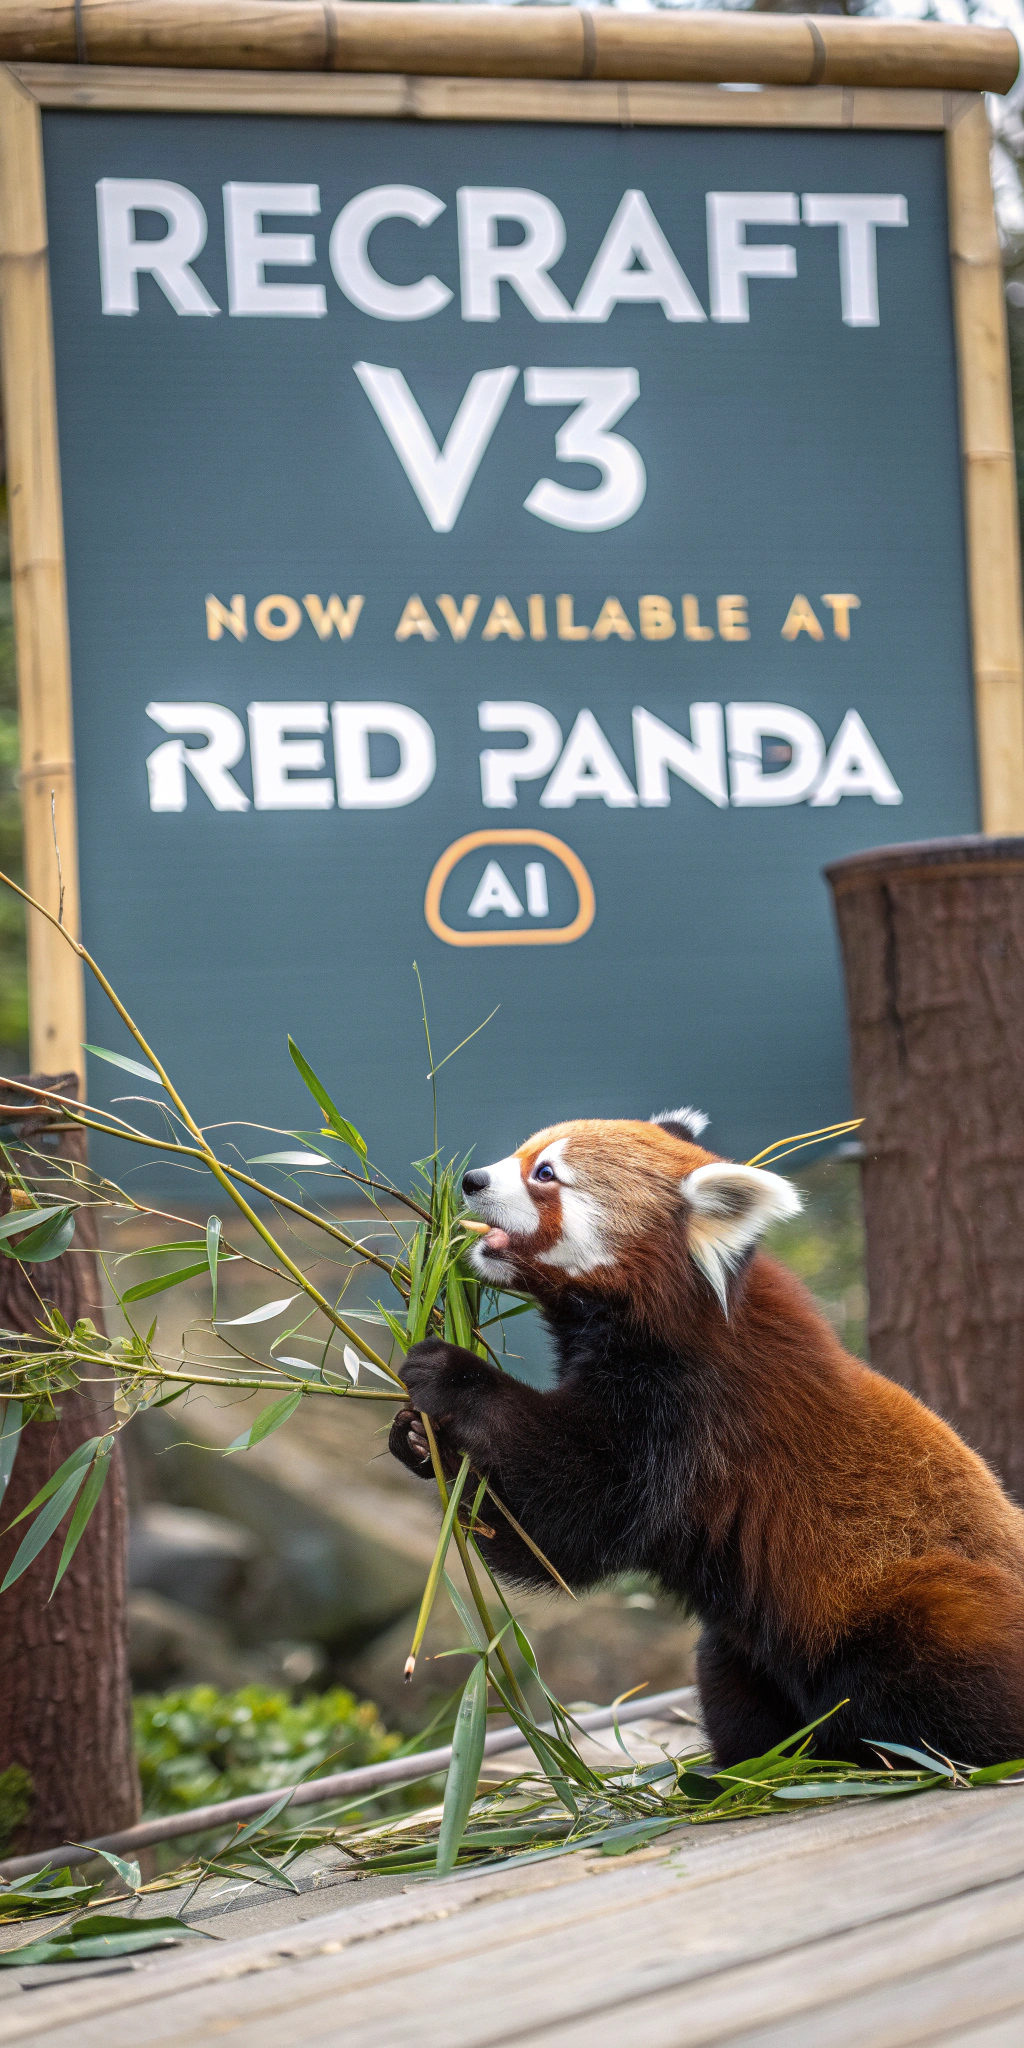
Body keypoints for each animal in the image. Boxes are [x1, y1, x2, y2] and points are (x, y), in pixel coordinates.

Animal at [390, 1110, 1024, 1768]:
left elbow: (581, 1507)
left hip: (919, 1607)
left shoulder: (695, 1412)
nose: (471, 1180)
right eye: (521, 1154)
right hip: (748, 1648)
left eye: (544, 1174)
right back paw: (749, 1768)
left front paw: (450, 1375)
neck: (675, 1309)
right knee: (728, 1674)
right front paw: (421, 1441)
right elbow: (542, 1542)